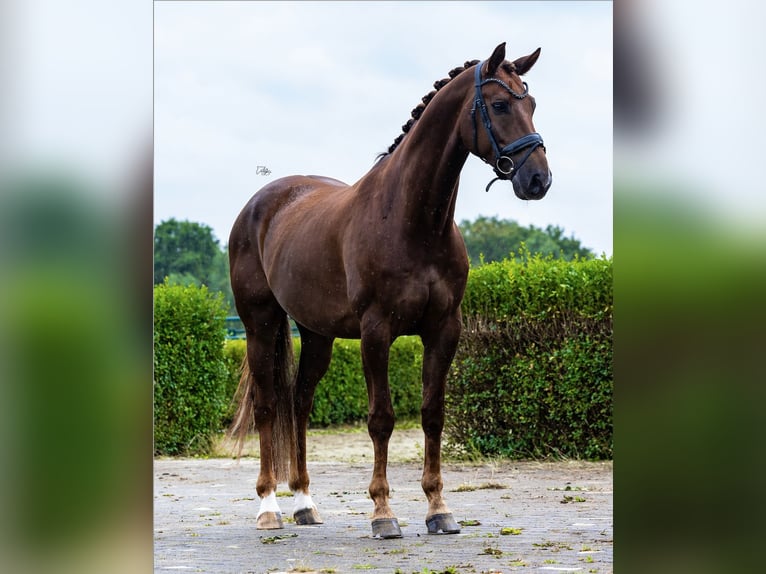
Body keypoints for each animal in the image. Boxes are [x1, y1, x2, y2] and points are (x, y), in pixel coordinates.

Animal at [228, 44, 552, 540]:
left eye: (531, 104)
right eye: (499, 105)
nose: (538, 180)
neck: (412, 220)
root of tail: (260, 204)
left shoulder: (444, 330)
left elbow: (433, 414)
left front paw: (438, 509)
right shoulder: (376, 332)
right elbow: (381, 419)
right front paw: (383, 513)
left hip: (317, 334)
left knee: (299, 403)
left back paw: (305, 502)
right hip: (259, 325)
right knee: (267, 407)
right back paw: (269, 506)